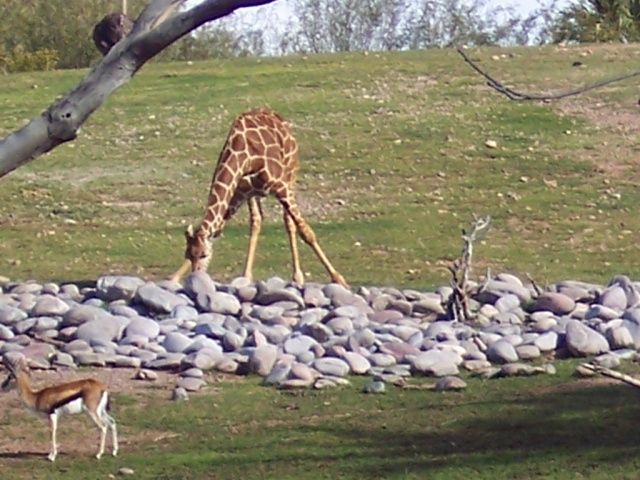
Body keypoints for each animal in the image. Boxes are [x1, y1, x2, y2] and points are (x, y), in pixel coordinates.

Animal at [170, 108, 348, 288]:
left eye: (204, 255)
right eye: (188, 255)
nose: (196, 276)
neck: (243, 156)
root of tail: (275, 114)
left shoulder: (280, 185)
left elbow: (306, 232)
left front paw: (338, 279)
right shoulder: (239, 192)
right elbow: (221, 226)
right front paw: (174, 277)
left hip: (291, 173)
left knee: (288, 221)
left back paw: (297, 276)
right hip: (253, 194)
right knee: (257, 220)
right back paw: (247, 276)